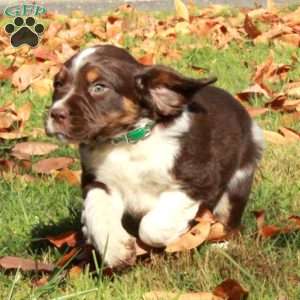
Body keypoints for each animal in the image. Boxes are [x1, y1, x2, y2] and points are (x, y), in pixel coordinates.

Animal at [45, 44, 264, 270]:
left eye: (99, 87)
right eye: (58, 84)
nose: (56, 114)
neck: (126, 143)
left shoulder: (199, 180)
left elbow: (152, 227)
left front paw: (181, 236)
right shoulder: (98, 181)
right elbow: (97, 211)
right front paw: (116, 250)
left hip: (237, 181)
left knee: (230, 222)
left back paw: (219, 246)